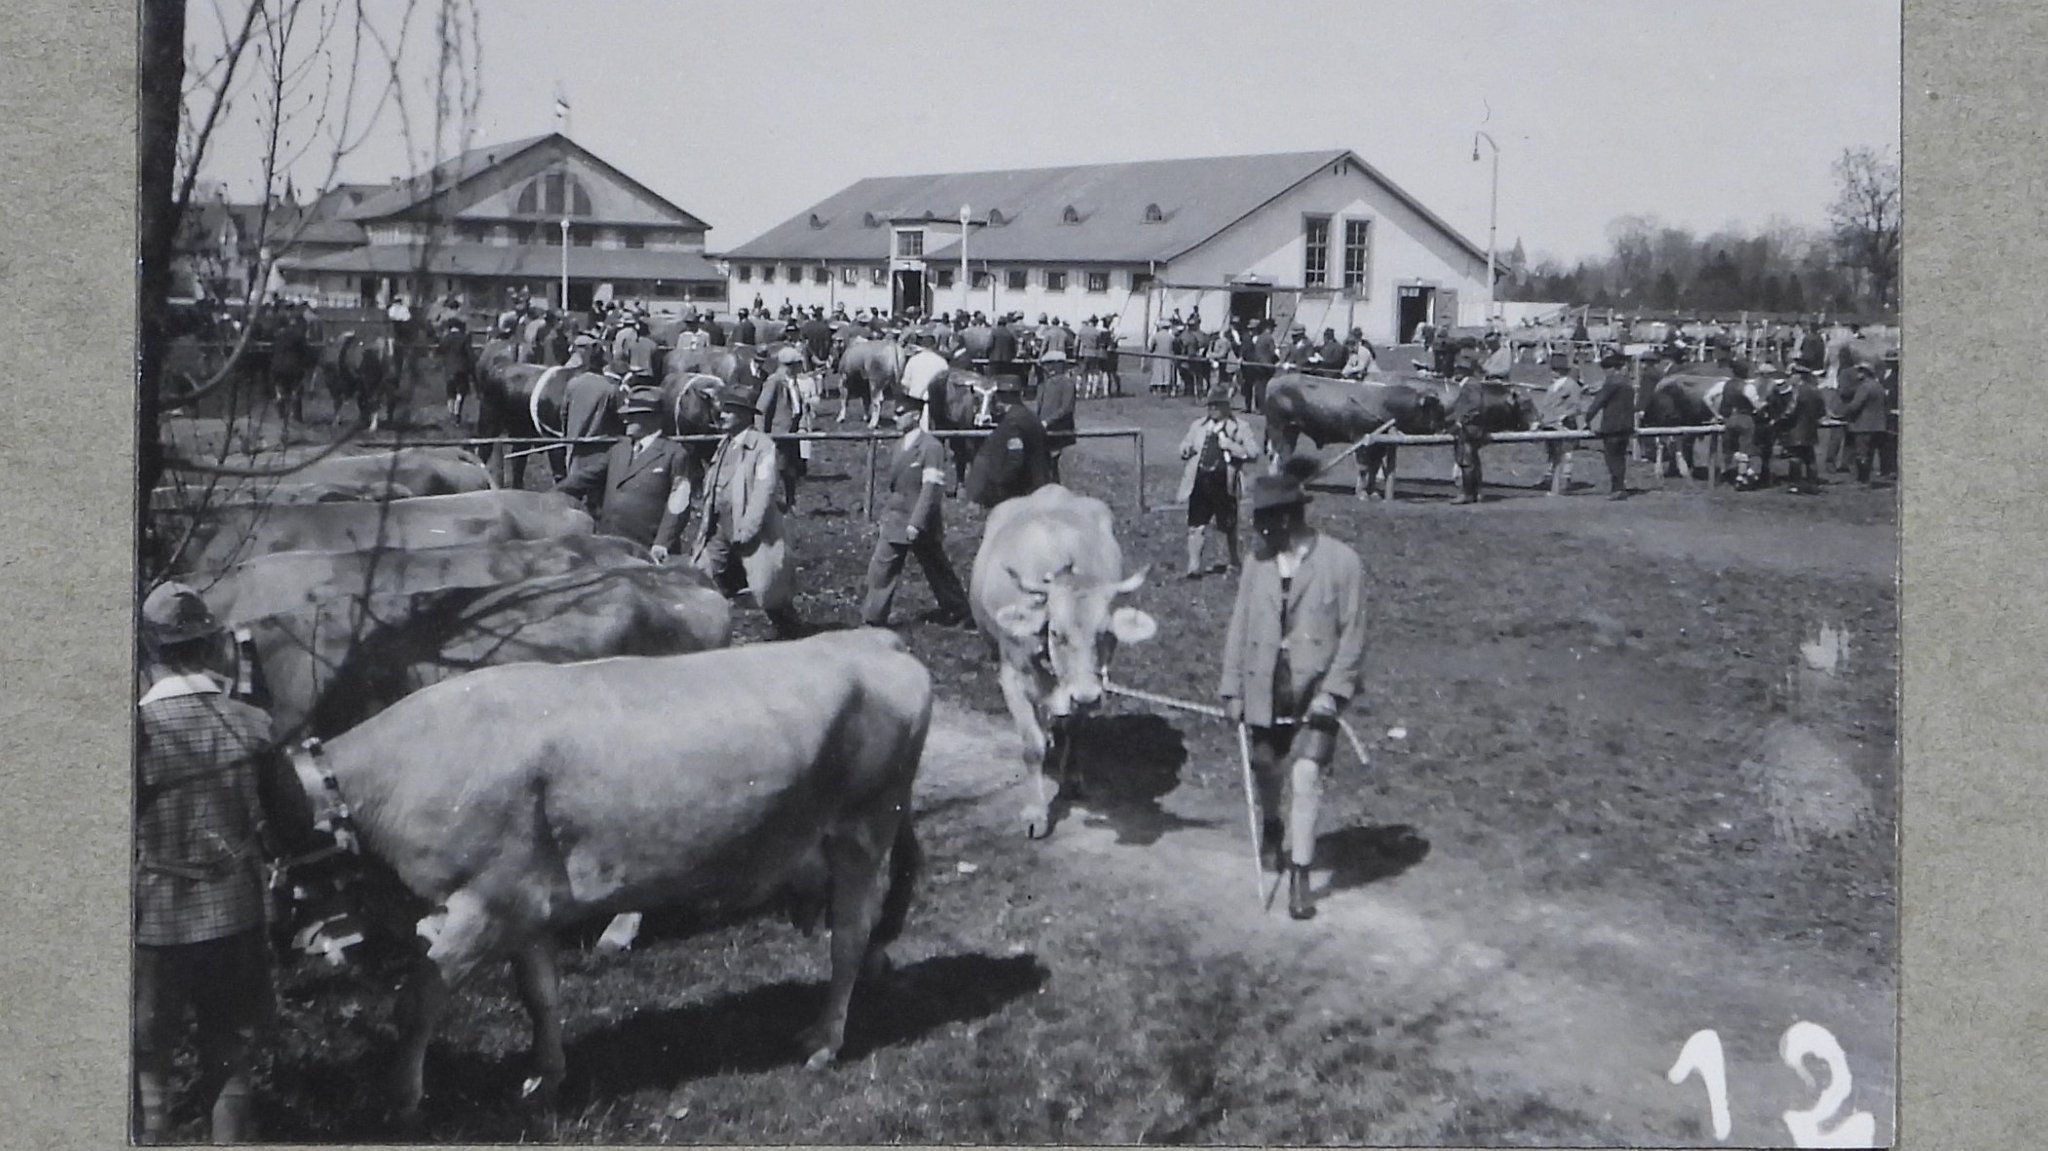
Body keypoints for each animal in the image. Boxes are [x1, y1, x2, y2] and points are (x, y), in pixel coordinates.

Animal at [272, 626, 929, 1114]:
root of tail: (874, 639)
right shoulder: (527, 904)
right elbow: (539, 993)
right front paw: (545, 1076)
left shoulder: (484, 904)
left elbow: (416, 1003)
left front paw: (400, 1098)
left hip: (864, 828)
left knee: (849, 936)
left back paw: (824, 1039)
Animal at [970, 481, 1163, 831]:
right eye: (1056, 633)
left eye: (1104, 633)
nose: (1085, 696)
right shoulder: (1012, 676)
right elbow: (1031, 746)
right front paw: (1035, 812)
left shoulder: (1093, 683)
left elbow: (1076, 727)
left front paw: (1072, 777)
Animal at [1253, 372, 1449, 497]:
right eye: (1434, 408)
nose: (1445, 427)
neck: (1383, 402)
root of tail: (1275, 381)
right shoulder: (1361, 439)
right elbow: (1363, 468)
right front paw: (1361, 493)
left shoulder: (1379, 445)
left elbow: (1373, 469)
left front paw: (1372, 492)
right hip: (1278, 428)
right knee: (1276, 457)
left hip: (1291, 432)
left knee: (1283, 456)